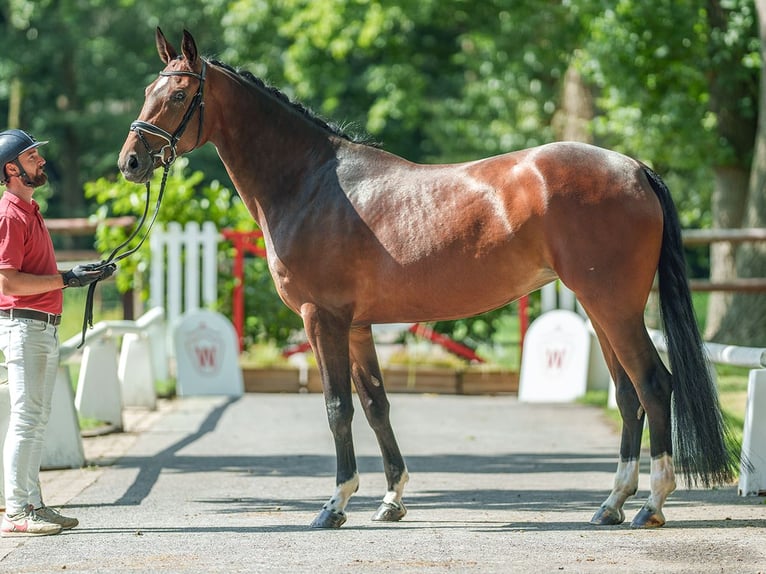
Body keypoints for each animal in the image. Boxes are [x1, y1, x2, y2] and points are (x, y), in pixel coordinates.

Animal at [118, 29, 736, 528]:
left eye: (179, 95)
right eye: (148, 90)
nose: (130, 162)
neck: (312, 183)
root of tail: (635, 168)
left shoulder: (323, 319)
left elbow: (337, 408)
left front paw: (335, 505)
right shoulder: (357, 326)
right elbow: (375, 405)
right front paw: (391, 500)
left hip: (614, 306)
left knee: (654, 385)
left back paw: (651, 505)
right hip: (601, 308)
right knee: (629, 396)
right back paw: (611, 505)